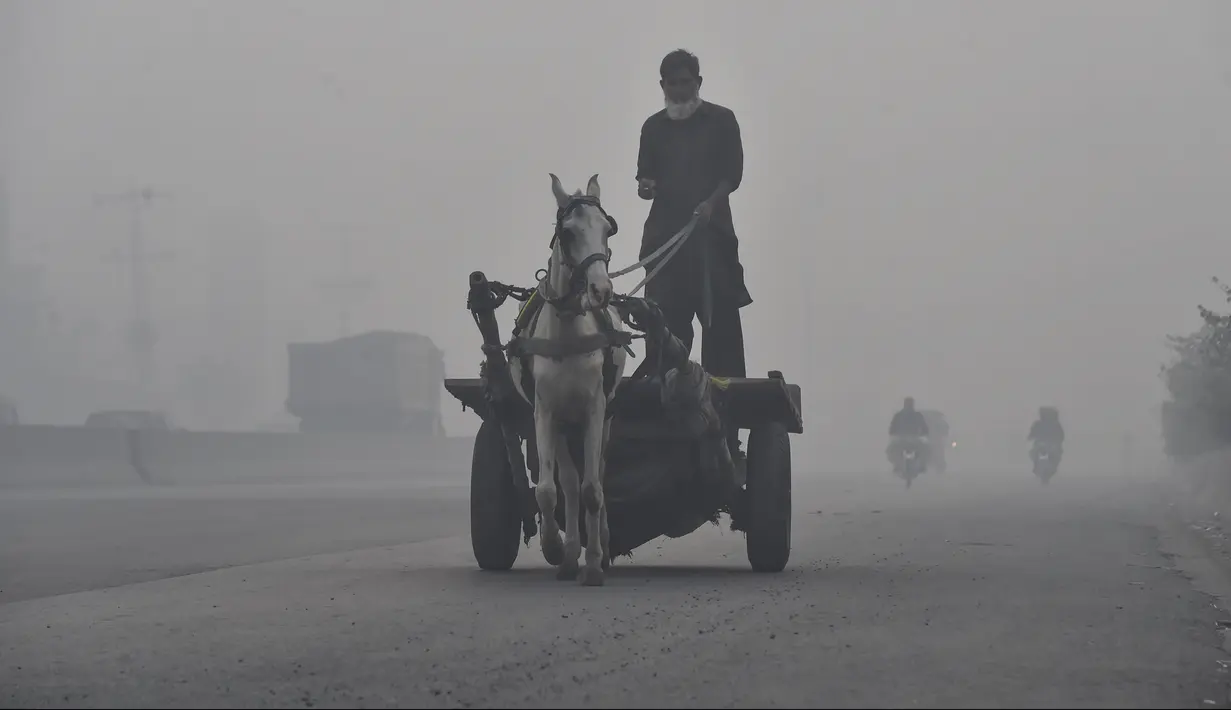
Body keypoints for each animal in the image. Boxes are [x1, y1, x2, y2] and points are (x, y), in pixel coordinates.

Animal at [509, 173, 630, 585]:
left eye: (608, 229)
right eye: (567, 232)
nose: (601, 290)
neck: (567, 335)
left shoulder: (595, 410)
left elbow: (594, 489)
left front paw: (594, 562)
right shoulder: (545, 414)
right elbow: (550, 491)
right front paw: (555, 548)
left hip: (604, 419)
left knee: (596, 479)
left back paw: (600, 547)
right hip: (564, 425)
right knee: (569, 485)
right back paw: (569, 554)